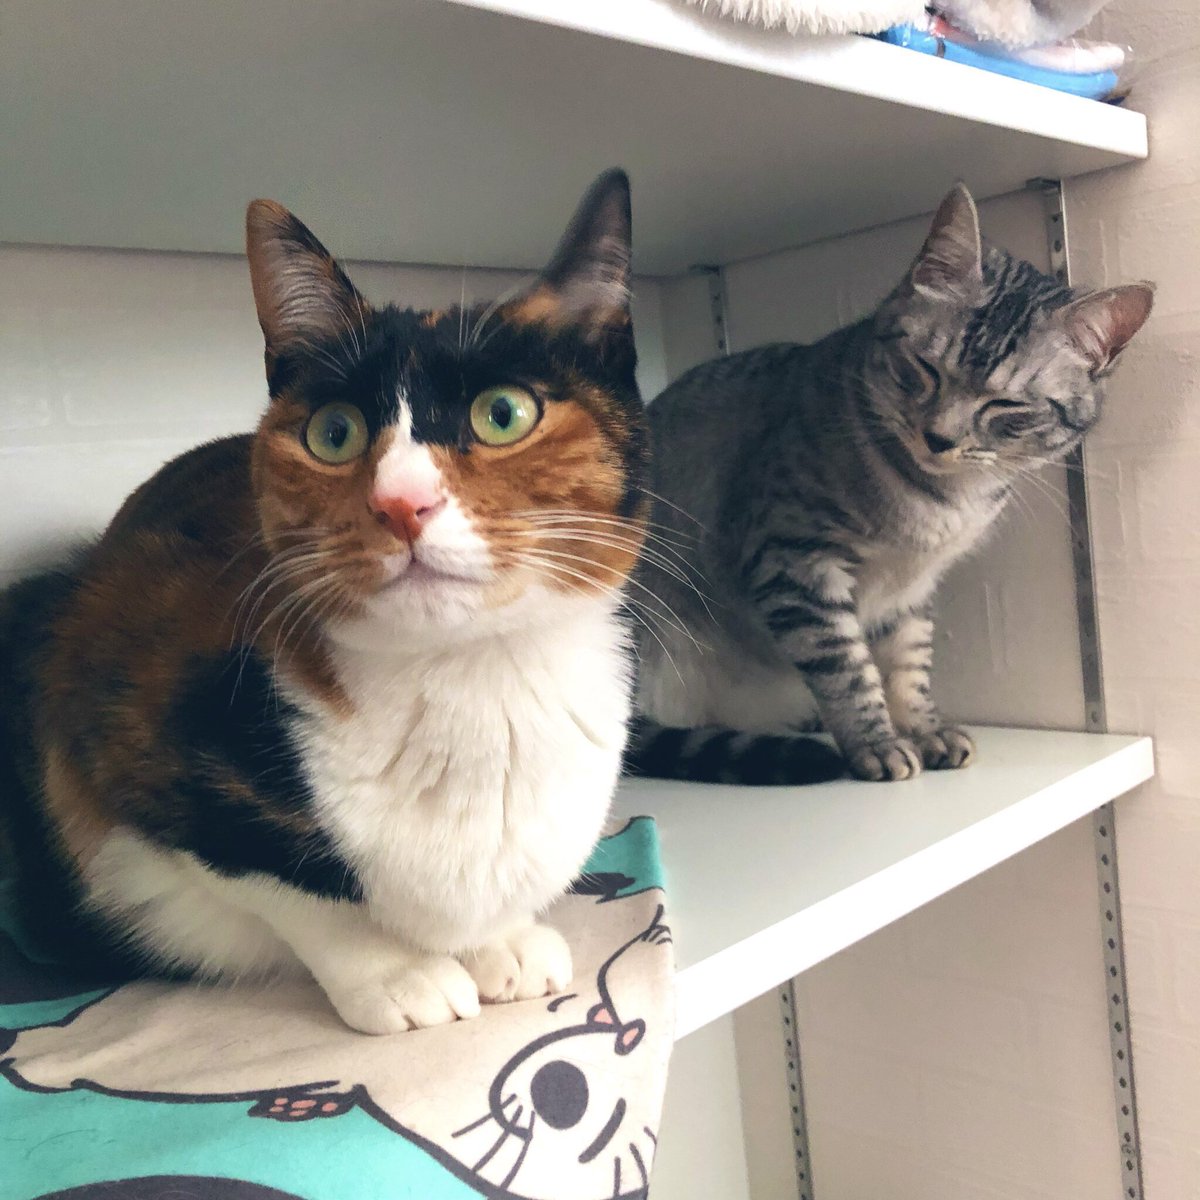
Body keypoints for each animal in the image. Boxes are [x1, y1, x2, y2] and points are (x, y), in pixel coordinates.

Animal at [0, 168, 651, 1035]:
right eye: (334, 432)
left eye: (503, 413)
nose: (401, 504)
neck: (470, 681)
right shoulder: (117, 708)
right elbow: (294, 886)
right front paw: (402, 973)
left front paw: (503, 941)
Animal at [627, 183, 1153, 785]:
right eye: (925, 368)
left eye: (1006, 405)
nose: (940, 437)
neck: (942, 503)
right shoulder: (793, 557)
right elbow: (846, 667)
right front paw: (875, 741)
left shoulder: (910, 591)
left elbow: (907, 666)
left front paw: (923, 729)